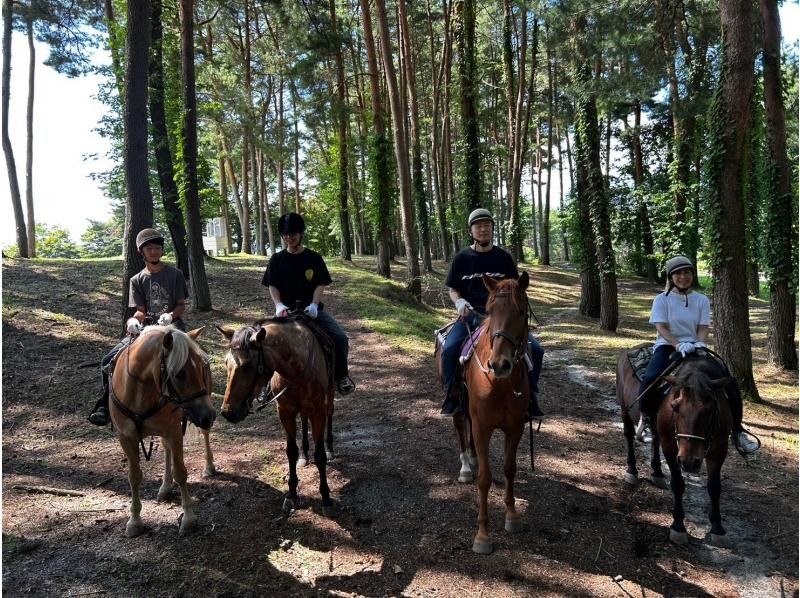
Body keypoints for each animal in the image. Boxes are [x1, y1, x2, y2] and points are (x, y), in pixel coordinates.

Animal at [109, 326, 217, 540]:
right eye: (180, 374)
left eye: (200, 367)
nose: (209, 415)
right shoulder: (126, 438)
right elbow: (134, 477)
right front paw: (134, 521)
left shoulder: (174, 430)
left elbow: (181, 473)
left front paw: (188, 519)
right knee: (167, 449)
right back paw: (166, 487)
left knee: (204, 434)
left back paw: (209, 466)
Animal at [216, 322, 334, 512]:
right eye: (226, 362)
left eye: (248, 365)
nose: (228, 413)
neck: (296, 369)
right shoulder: (285, 412)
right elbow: (291, 452)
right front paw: (292, 494)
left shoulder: (318, 411)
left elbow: (320, 455)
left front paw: (325, 497)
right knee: (304, 419)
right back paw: (304, 456)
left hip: (329, 397)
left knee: (330, 413)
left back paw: (330, 447)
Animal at [620, 350, 732, 548]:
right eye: (674, 406)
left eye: (710, 410)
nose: (689, 461)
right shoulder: (671, 446)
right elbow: (678, 483)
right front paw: (678, 526)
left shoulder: (720, 449)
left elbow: (714, 487)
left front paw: (717, 528)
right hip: (625, 411)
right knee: (629, 436)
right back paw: (632, 471)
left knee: (654, 440)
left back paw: (657, 473)